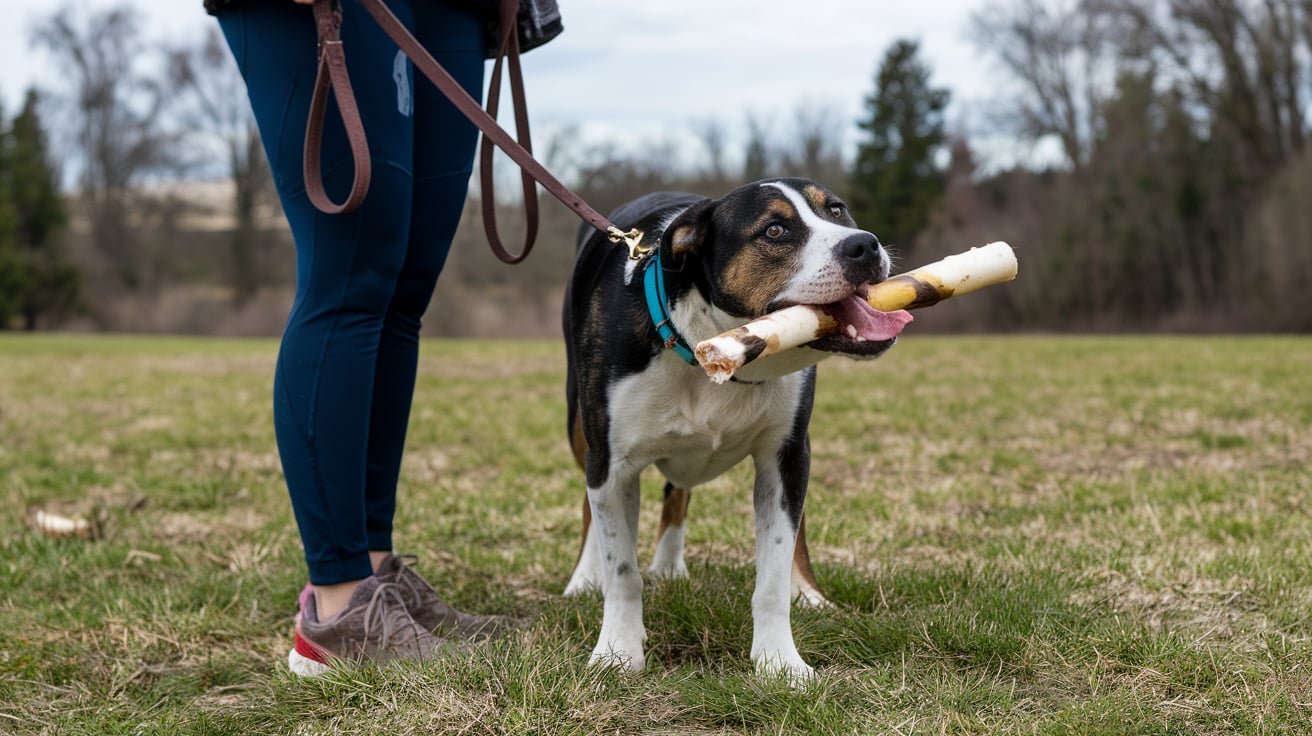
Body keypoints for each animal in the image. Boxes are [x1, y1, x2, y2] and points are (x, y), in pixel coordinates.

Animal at [558, 179, 907, 682]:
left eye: (837, 210)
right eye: (774, 230)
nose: (864, 245)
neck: (712, 345)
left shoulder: (786, 455)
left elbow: (774, 572)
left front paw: (779, 662)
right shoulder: (611, 462)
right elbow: (622, 570)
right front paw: (618, 654)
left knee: (687, 494)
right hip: (579, 429)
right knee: (596, 511)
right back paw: (587, 577)